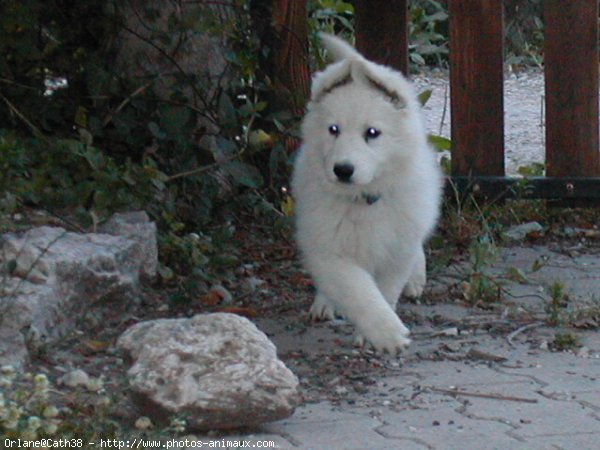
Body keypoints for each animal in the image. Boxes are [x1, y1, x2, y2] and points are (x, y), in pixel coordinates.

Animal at [292, 33, 442, 354]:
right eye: (333, 129)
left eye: (372, 133)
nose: (342, 170)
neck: (364, 199)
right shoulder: (329, 248)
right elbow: (358, 290)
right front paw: (386, 332)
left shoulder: (396, 248)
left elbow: (385, 290)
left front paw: (377, 334)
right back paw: (323, 303)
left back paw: (416, 279)